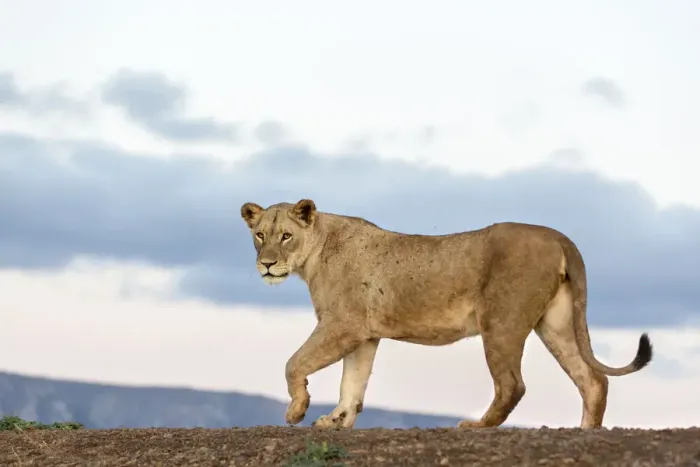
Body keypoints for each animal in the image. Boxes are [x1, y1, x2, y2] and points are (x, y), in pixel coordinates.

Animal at [239, 198, 652, 430]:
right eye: (260, 235)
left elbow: (295, 363)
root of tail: (559, 236)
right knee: (592, 380)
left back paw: (476, 426)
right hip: (556, 324)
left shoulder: (342, 324)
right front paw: (337, 421)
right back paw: (586, 431)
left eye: (286, 236)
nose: (267, 264)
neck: (317, 247)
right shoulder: (365, 333)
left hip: (500, 322)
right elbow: (352, 383)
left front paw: (297, 412)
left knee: (513, 384)